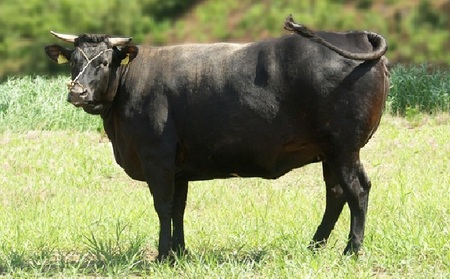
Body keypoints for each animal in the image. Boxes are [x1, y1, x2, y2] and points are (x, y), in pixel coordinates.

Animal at [46, 14, 390, 260]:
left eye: (104, 62)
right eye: (75, 62)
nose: (77, 92)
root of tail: (355, 35)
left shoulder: (157, 157)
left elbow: (163, 205)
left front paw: (162, 254)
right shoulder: (178, 167)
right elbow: (178, 207)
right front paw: (179, 252)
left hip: (343, 148)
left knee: (356, 191)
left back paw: (352, 250)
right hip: (332, 151)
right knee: (337, 194)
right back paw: (315, 246)